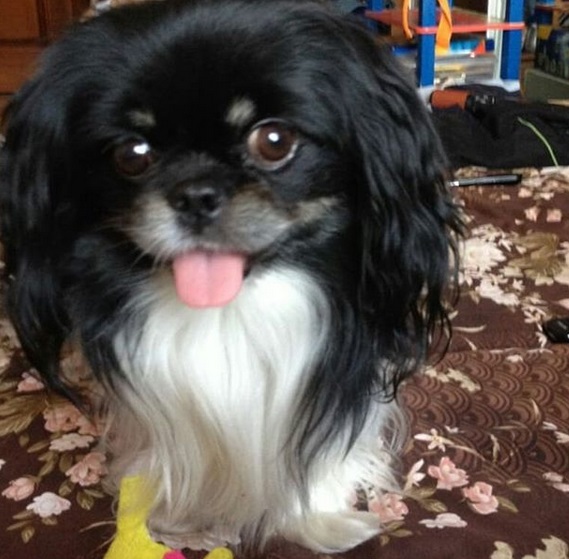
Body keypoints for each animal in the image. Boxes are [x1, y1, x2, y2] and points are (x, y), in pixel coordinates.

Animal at [0, 0, 462, 552]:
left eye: (275, 141)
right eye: (131, 154)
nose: (196, 193)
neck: (229, 313)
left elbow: (324, 453)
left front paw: (320, 520)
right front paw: (172, 517)